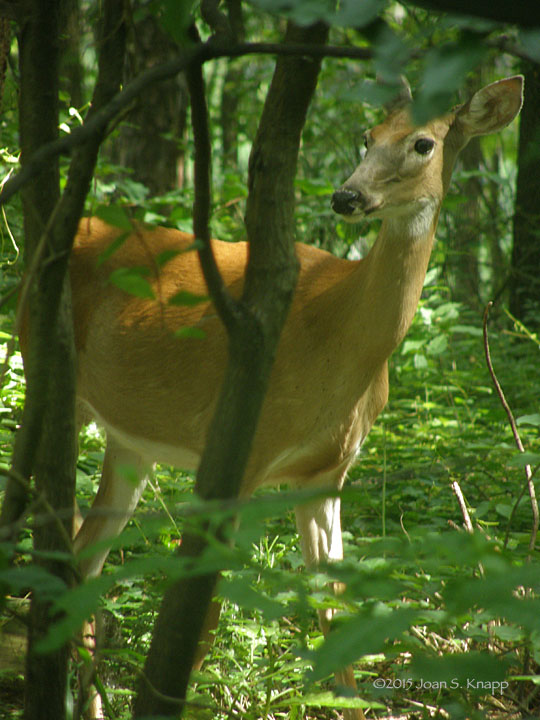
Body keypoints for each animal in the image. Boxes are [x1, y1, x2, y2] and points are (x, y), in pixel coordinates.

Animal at [64, 76, 524, 716]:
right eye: (367, 136)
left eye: (424, 143)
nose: (347, 195)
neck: (339, 335)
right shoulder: (241, 451)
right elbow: (201, 622)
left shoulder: (326, 472)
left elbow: (336, 609)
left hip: (130, 441)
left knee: (84, 557)